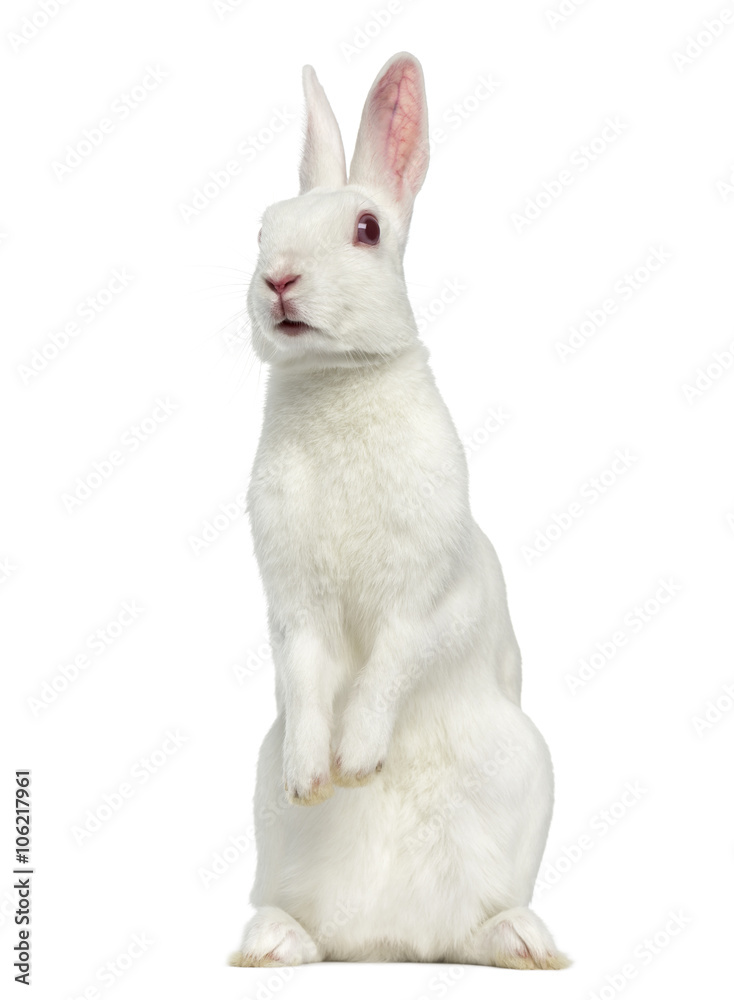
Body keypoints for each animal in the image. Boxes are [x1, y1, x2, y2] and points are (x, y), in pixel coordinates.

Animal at [229, 52, 570, 970]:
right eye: (263, 228)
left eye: (366, 230)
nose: (278, 281)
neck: (338, 379)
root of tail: (392, 947)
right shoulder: (292, 607)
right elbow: (305, 673)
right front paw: (315, 776)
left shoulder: (430, 595)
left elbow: (392, 664)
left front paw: (358, 761)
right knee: (307, 925)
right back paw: (272, 943)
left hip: (523, 775)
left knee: (478, 923)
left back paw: (521, 941)